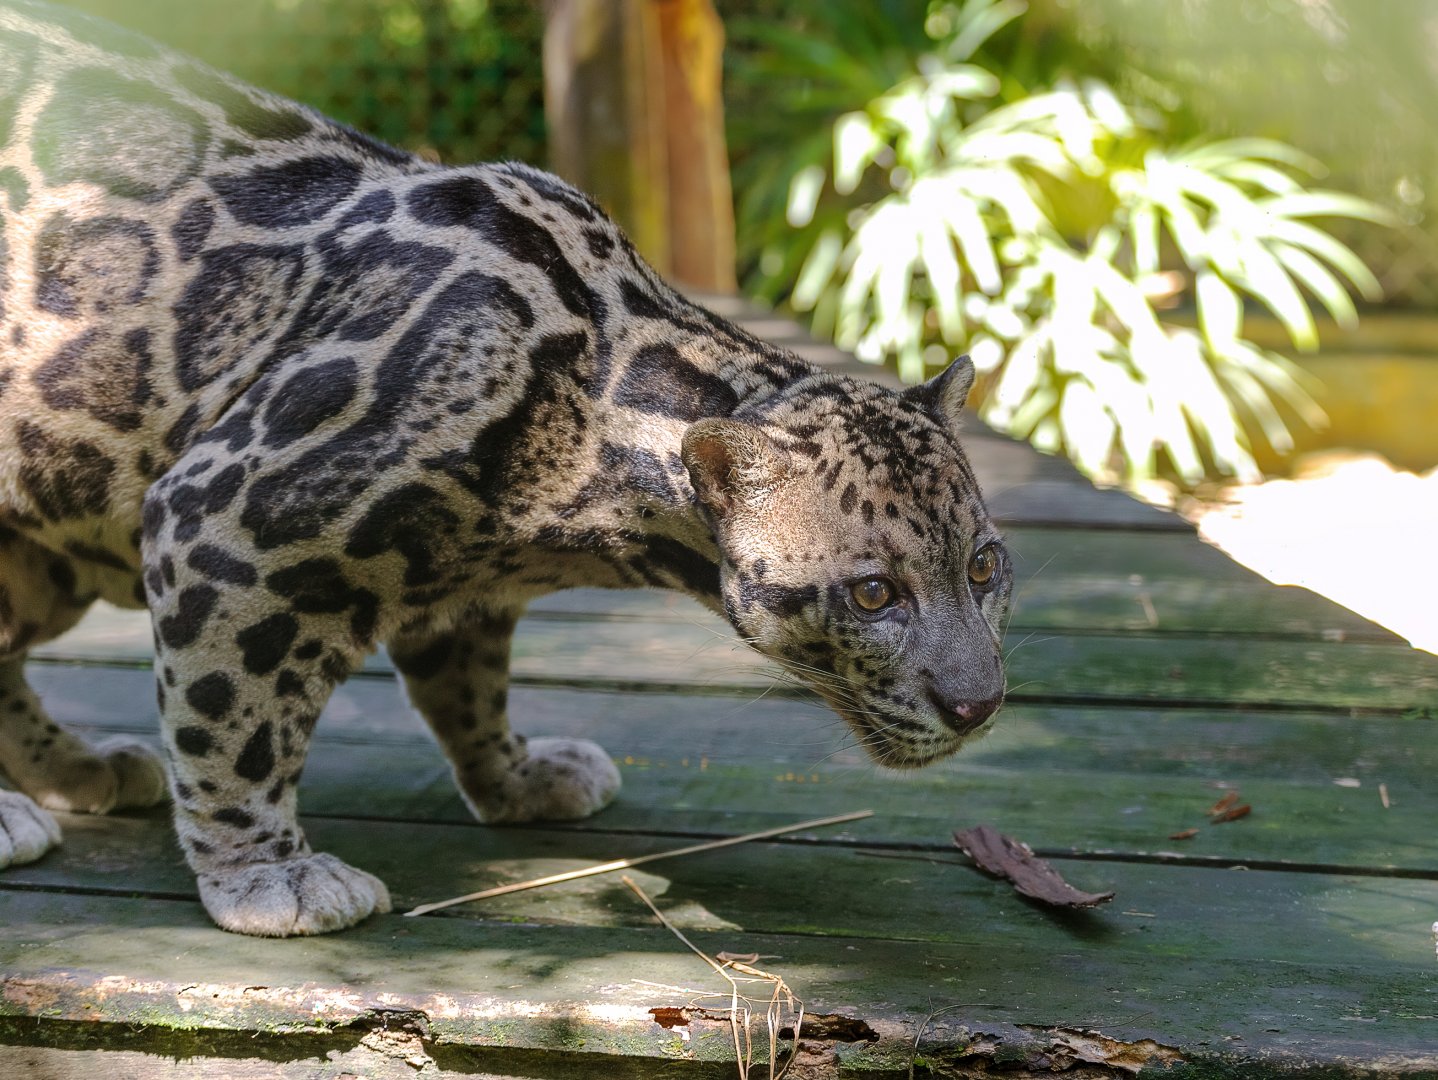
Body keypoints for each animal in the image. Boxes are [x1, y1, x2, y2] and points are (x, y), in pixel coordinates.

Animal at [0, 0, 1012, 936]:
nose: (979, 705)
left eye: (983, 567)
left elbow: (468, 686)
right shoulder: (222, 521)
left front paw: (516, 774)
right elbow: (233, 720)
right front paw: (268, 872)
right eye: (874, 593)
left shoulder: (457, 582)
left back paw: (77, 769)